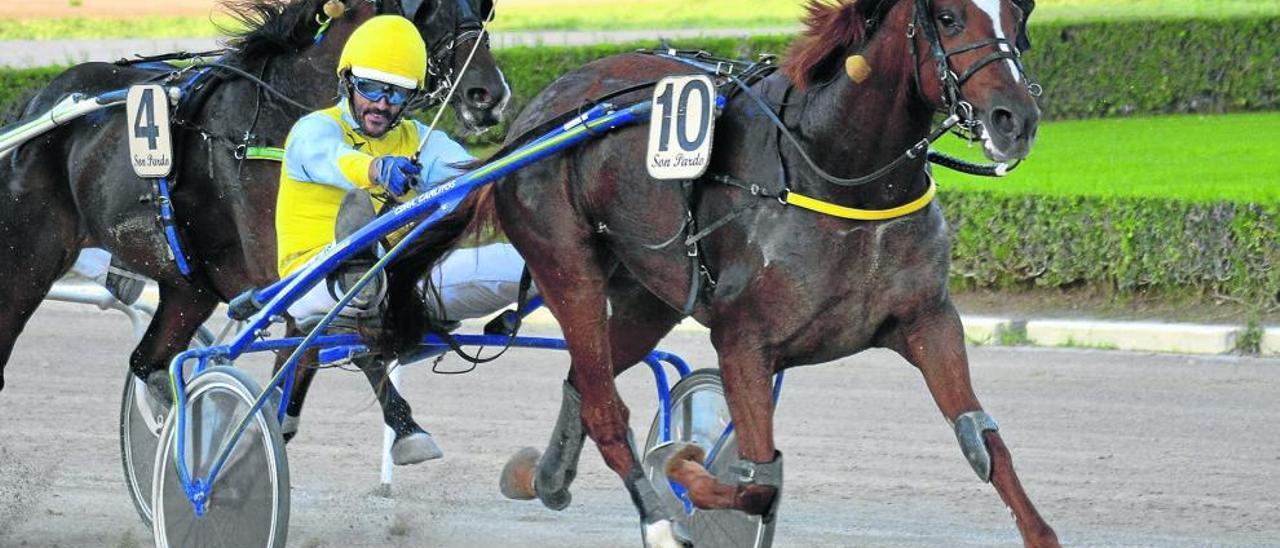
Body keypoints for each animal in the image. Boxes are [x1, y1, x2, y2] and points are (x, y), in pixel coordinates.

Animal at [0, 0, 509, 445]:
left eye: (483, 7)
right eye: (428, 7)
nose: (488, 94)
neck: (282, 119)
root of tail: (35, 104)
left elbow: (317, 341)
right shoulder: (277, 268)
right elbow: (337, 330)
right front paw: (404, 427)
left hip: (189, 288)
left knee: (149, 360)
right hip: (29, 261)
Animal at [440, 0, 1049, 542]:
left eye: (1018, 14)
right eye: (948, 18)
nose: (1015, 119)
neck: (832, 166)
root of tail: (534, 119)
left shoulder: (929, 320)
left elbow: (983, 443)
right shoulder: (743, 342)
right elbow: (758, 481)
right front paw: (681, 465)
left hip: (648, 299)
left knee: (585, 383)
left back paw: (543, 478)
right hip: (567, 268)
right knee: (605, 409)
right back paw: (655, 517)